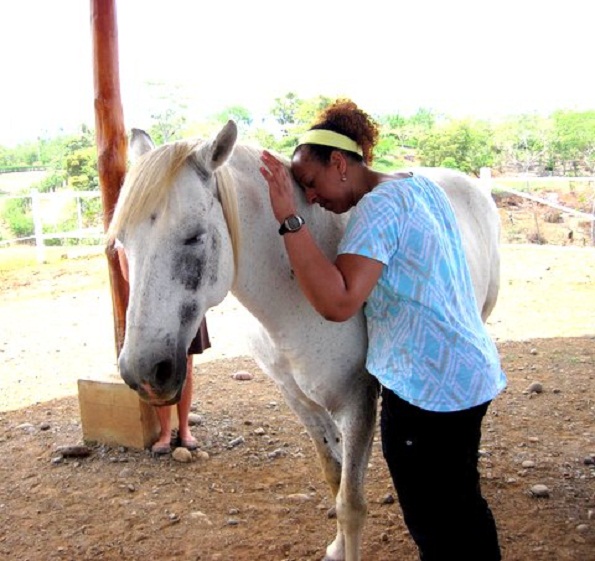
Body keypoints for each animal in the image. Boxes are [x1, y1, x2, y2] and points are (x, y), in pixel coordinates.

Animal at [108, 122, 502, 560]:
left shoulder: (358, 400)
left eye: (193, 236)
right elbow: (334, 477)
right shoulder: (298, 398)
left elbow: (351, 503)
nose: (144, 372)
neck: (293, 297)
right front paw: (336, 546)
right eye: (122, 242)